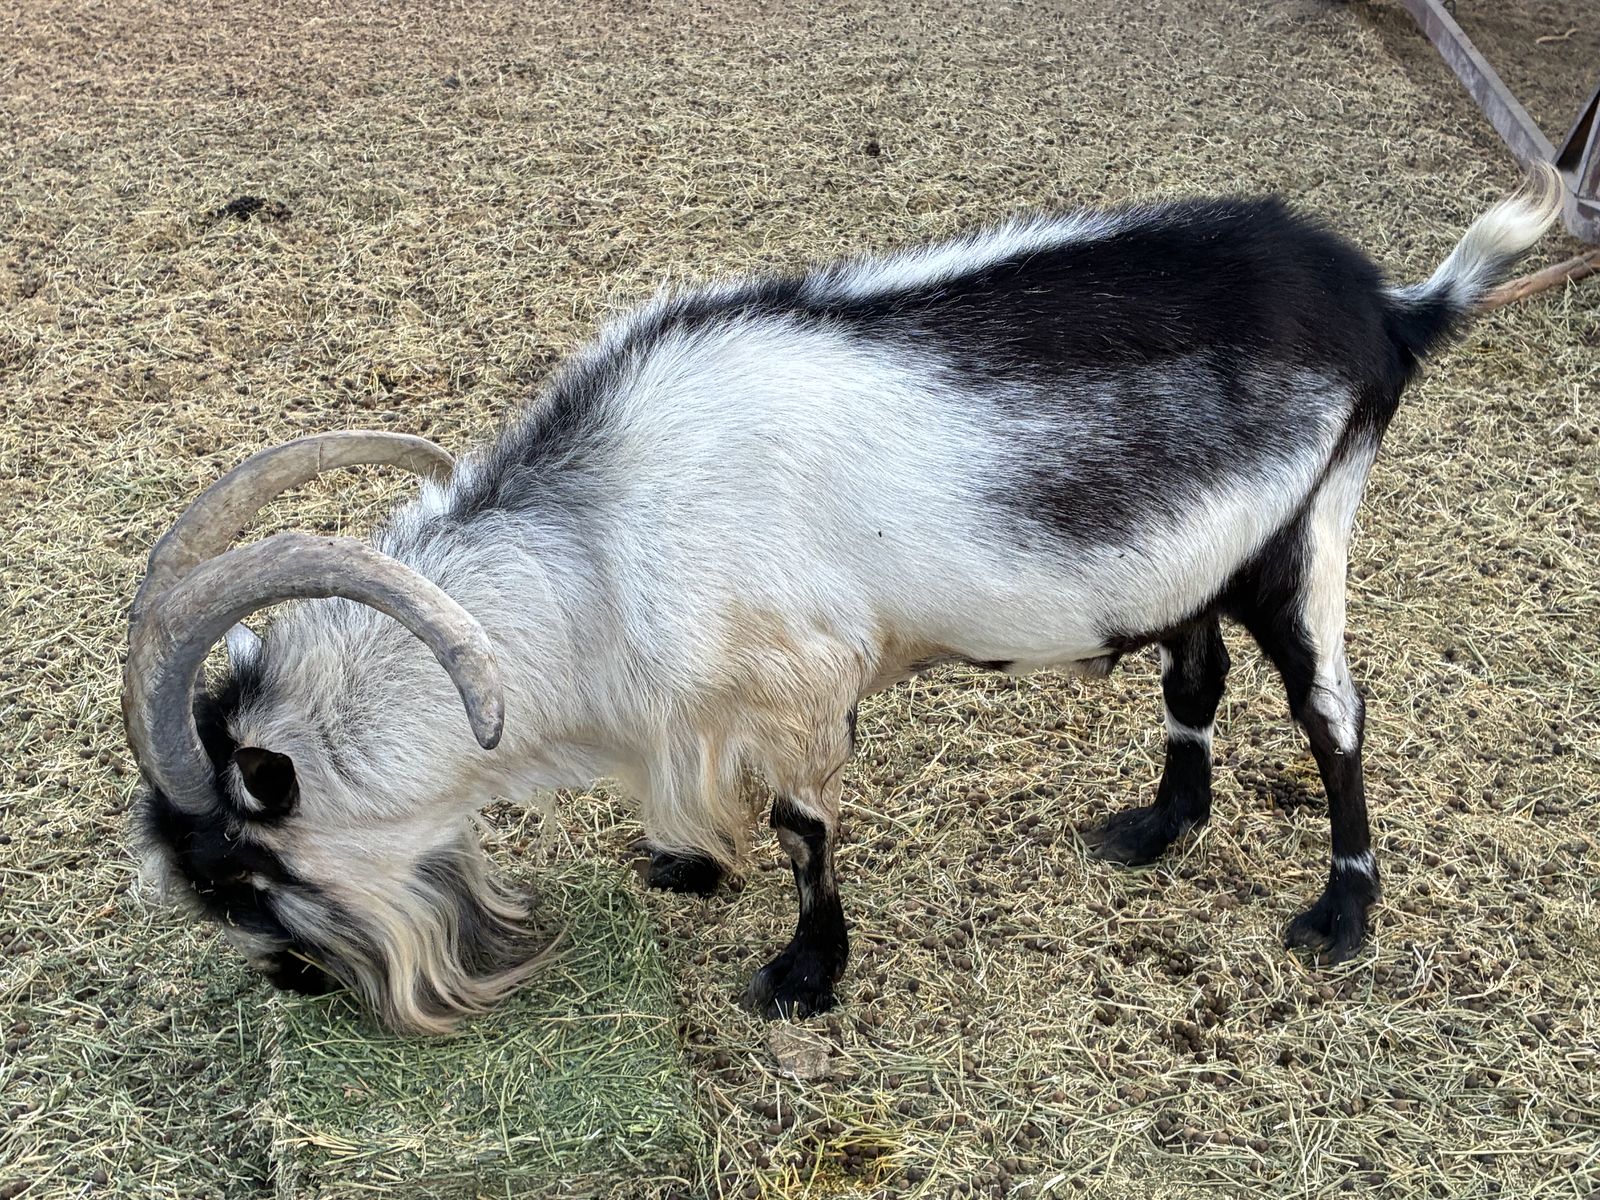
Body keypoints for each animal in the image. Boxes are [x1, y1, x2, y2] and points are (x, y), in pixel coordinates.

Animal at [126, 171, 1560, 1032]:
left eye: (244, 875)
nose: (293, 981)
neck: (600, 547)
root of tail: (1391, 306)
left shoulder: (802, 682)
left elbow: (807, 826)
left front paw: (804, 973)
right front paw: (686, 862)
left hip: (1300, 537)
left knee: (1332, 713)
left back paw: (1341, 913)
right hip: (1191, 558)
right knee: (1192, 674)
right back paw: (1159, 826)